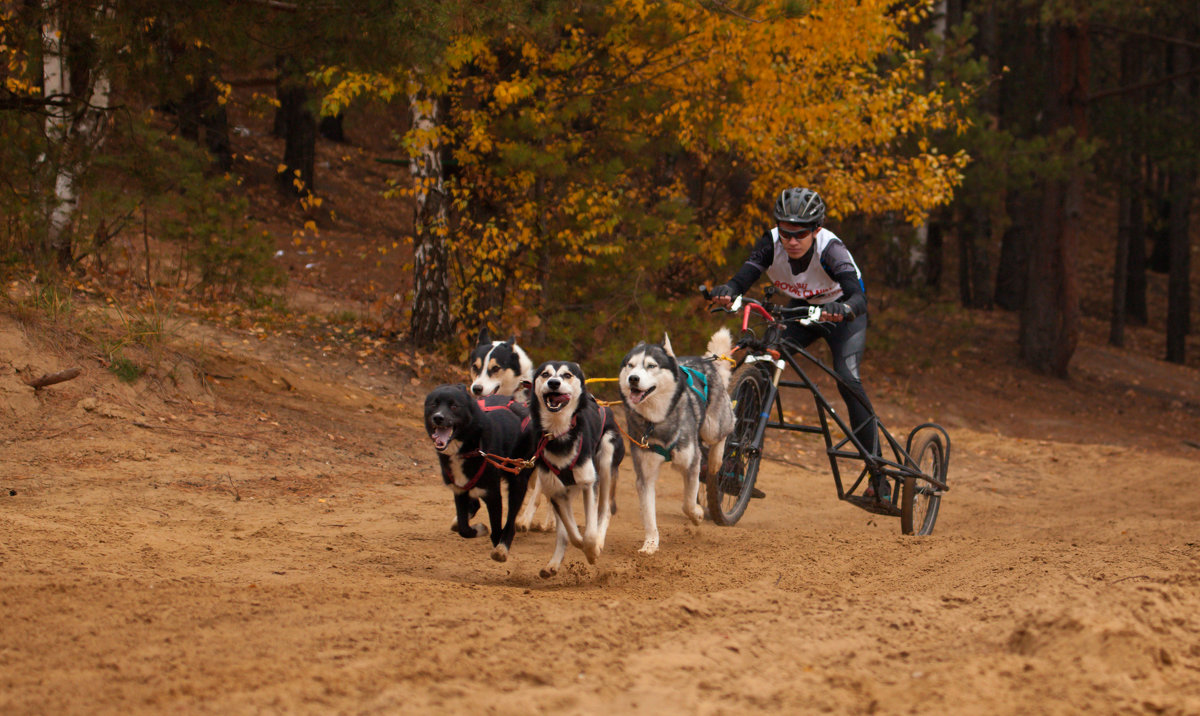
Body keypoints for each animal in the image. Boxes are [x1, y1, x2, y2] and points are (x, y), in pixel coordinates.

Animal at [424, 381, 532, 561]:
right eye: (434, 404)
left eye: (454, 406)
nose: (438, 417)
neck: (468, 448)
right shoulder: (459, 490)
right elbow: (463, 528)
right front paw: (479, 529)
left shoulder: (492, 493)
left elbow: (497, 529)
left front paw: (497, 542)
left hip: (518, 478)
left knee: (511, 518)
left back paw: (503, 546)